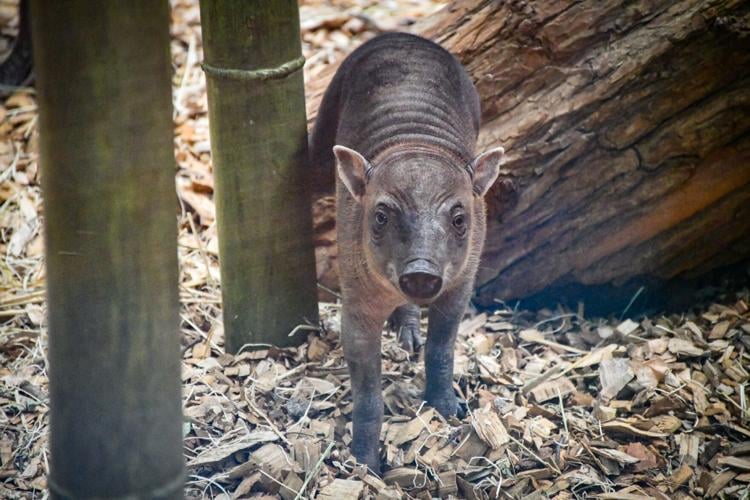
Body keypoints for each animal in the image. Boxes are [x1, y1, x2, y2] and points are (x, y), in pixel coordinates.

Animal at [309, 32, 504, 473]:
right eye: (381, 215)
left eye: (460, 218)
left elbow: (442, 346)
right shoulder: (357, 300)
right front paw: (365, 464)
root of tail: (402, 35)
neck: (415, 144)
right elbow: (366, 388)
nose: (420, 271)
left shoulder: (460, 281)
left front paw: (449, 410)